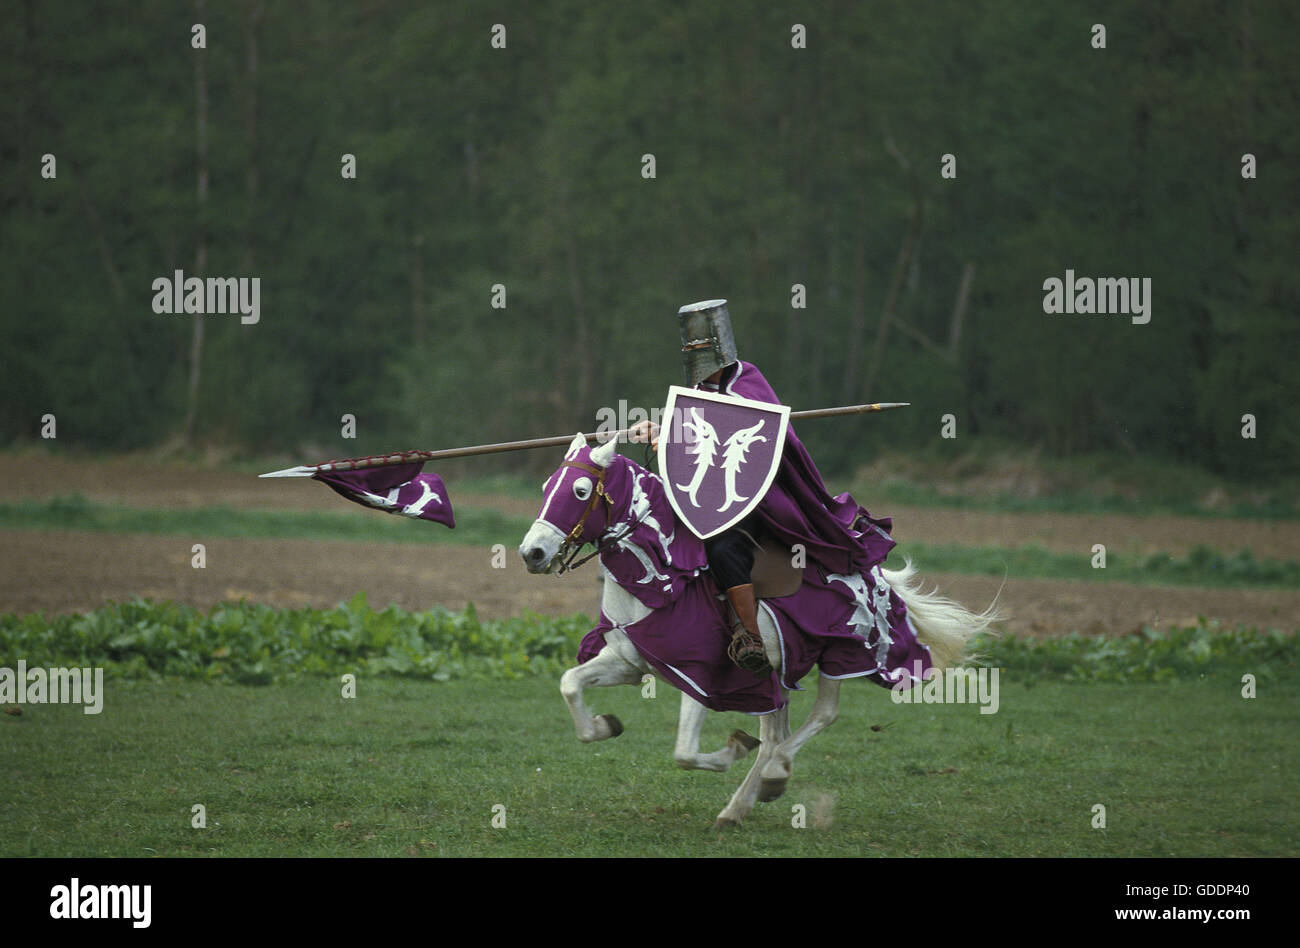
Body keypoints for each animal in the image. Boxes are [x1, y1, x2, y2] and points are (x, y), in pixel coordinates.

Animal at [517, 431, 993, 827]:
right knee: (774, 734)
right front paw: (604, 726)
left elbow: (685, 753)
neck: (660, 580)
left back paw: (774, 775)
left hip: (841, 652)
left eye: (580, 491)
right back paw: (741, 804)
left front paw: (730, 751)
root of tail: (870, 567)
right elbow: (569, 684)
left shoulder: (700, 675)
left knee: (820, 717)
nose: (531, 554)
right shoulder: (628, 661)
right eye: (546, 488)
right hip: (773, 672)